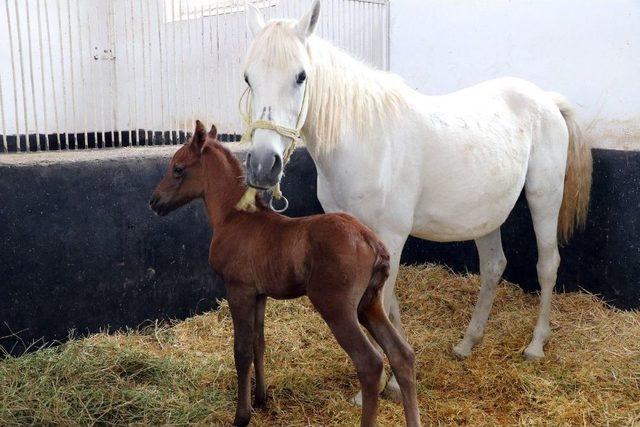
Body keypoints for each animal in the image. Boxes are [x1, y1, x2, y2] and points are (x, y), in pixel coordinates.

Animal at [149, 121, 420, 427]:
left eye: (178, 168)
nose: (154, 201)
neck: (235, 218)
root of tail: (370, 240)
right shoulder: (259, 293)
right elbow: (259, 343)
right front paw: (260, 398)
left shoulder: (238, 289)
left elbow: (241, 350)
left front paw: (242, 416)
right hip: (370, 303)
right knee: (402, 355)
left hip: (337, 308)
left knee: (370, 363)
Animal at [244, 0, 592, 406]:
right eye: (248, 78)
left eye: (301, 76)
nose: (263, 166)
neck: (365, 140)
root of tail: (546, 99)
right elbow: (387, 306)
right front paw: (394, 380)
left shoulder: (392, 237)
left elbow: (380, 304)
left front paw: (377, 388)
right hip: (485, 215)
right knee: (493, 266)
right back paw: (467, 343)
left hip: (544, 196)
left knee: (548, 265)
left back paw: (536, 345)